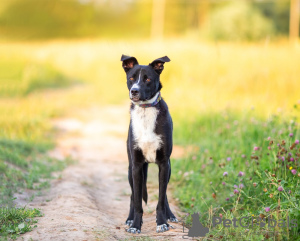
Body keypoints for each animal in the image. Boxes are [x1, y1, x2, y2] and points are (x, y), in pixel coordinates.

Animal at [120, 54, 178, 233]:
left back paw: (170, 215)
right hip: (130, 170)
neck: (145, 110)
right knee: (133, 195)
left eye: (147, 79)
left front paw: (162, 222)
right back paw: (129, 219)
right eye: (132, 78)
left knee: (164, 195)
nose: (134, 91)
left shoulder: (164, 164)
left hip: (168, 169)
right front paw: (135, 225)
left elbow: (160, 198)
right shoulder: (137, 165)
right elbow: (138, 200)